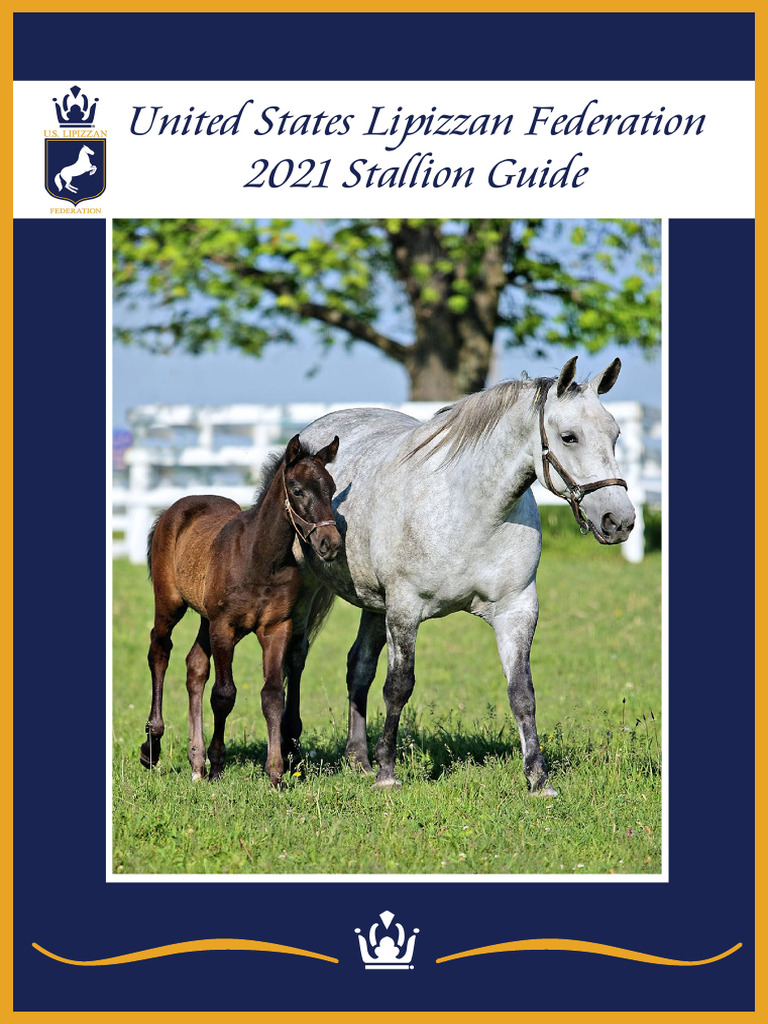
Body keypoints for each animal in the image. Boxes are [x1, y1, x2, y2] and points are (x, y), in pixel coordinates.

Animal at [141, 433, 341, 788]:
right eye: (297, 489)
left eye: (331, 489)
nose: (330, 543)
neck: (259, 559)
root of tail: (172, 509)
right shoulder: (225, 626)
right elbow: (224, 694)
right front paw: (218, 766)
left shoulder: (276, 627)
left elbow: (273, 695)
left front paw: (275, 774)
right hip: (170, 603)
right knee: (159, 651)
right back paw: (153, 747)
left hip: (205, 618)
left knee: (195, 665)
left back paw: (196, 762)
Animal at [291, 356, 635, 796]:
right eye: (569, 437)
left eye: (615, 435)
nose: (619, 520)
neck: (469, 510)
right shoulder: (404, 611)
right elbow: (398, 687)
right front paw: (388, 774)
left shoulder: (517, 610)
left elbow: (522, 693)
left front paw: (538, 779)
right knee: (296, 660)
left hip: (374, 606)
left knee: (359, 668)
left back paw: (359, 760)